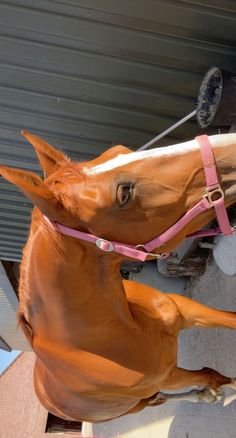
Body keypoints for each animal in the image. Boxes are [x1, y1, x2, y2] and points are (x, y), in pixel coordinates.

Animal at [0, 132, 236, 422]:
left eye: (120, 150)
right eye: (124, 194)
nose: (230, 143)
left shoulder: (187, 310)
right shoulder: (168, 376)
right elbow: (212, 375)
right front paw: (220, 386)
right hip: (138, 402)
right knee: (158, 399)